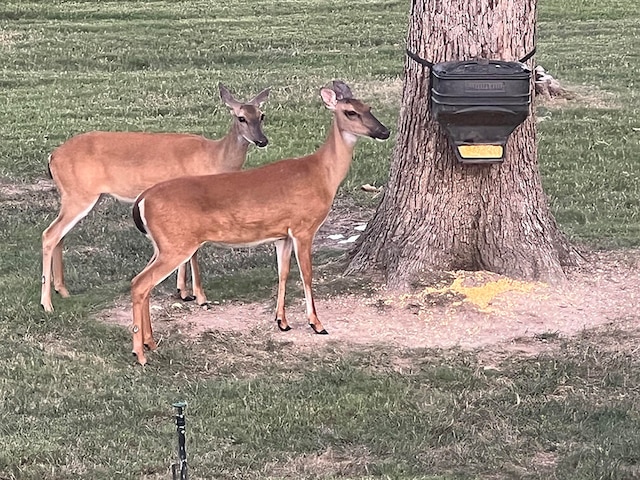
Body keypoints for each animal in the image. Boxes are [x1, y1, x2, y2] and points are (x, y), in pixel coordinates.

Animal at [40, 84, 270, 314]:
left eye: (261, 115)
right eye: (241, 118)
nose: (262, 141)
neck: (214, 158)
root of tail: (53, 156)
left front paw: (183, 291)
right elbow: (194, 251)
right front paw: (199, 296)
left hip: (78, 196)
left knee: (60, 234)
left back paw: (63, 291)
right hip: (79, 195)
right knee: (50, 234)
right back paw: (47, 304)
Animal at [129, 80, 390, 364]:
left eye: (368, 107)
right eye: (350, 112)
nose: (384, 131)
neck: (321, 174)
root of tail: (142, 199)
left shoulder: (282, 234)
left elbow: (283, 273)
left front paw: (282, 321)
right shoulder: (304, 227)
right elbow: (307, 275)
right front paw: (316, 324)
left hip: (163, 244)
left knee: (141, 283)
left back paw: (150, 343)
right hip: (176, 244)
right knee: (140, 284)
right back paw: (140, 353)